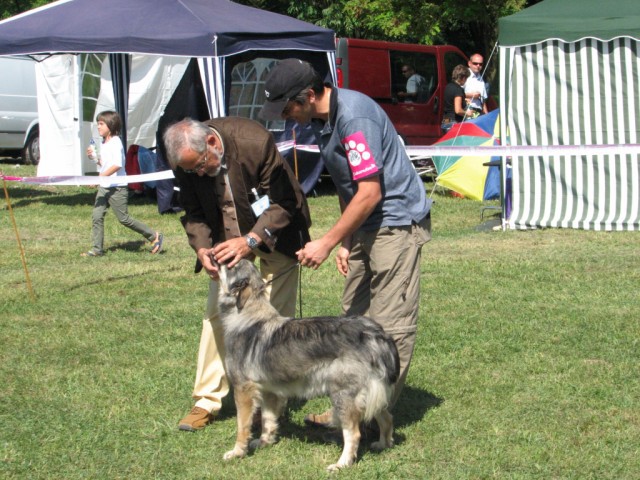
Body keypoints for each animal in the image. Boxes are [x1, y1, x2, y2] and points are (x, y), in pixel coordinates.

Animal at [220, 258, 400, 472]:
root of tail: (375, 334)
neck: (247, 315)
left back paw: (341, 464)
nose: (214, 256)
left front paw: (237, 452)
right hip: (372, 394)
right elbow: (268, 420)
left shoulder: (243, 390)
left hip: (342, 396)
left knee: (354, 433)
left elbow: (242, 426)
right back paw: (383, 444)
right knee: (387, 418)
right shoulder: (269, 391)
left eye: (231, 264)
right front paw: (264, 442)